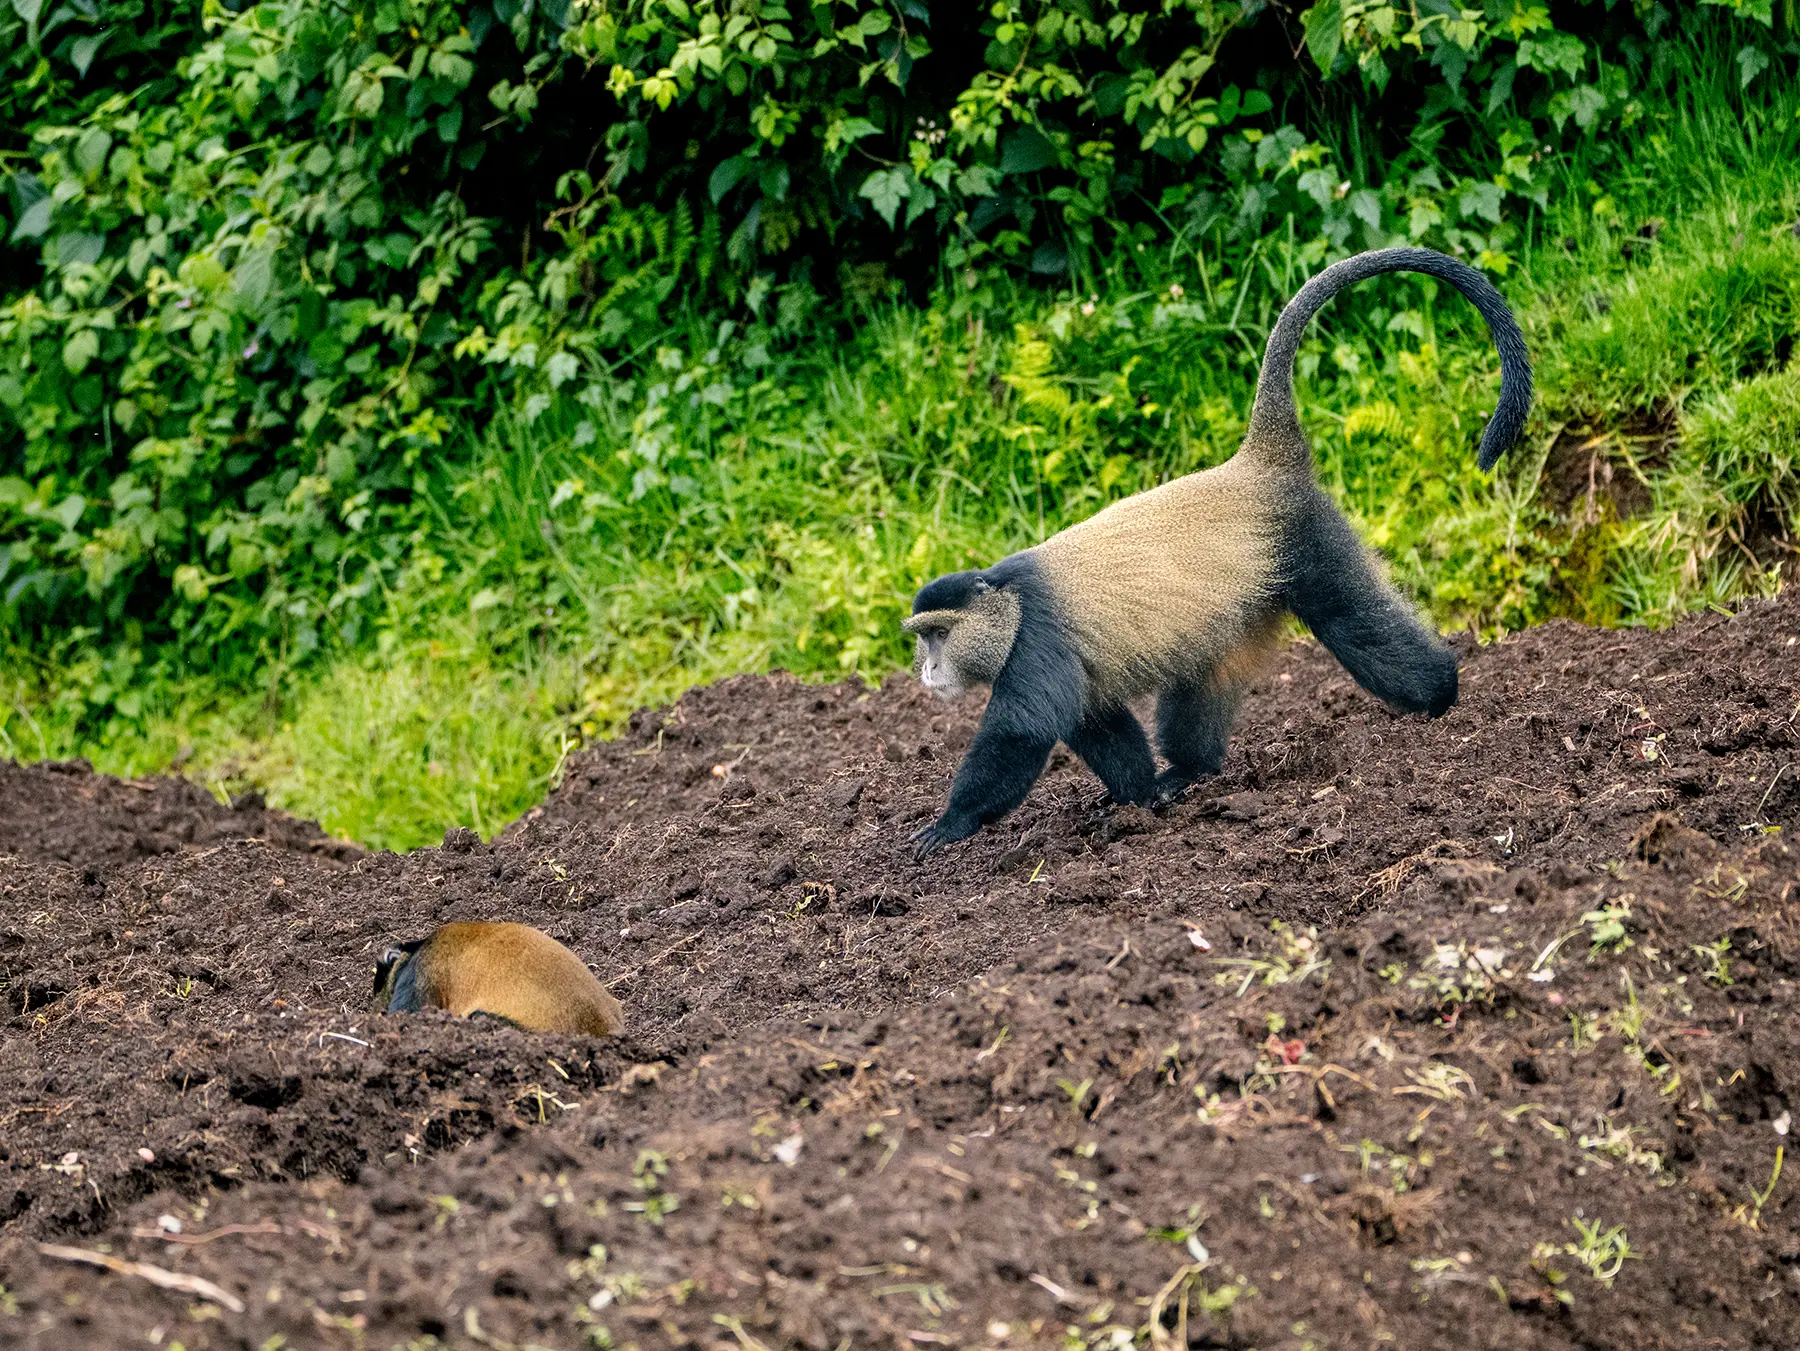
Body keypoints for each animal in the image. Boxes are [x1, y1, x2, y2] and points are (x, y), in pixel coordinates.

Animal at [904, 246, 1531, 860]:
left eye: (937, 634)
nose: (927, 670)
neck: (1007, 601)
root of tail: (1257, 466)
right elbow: (1098, 723)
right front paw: (1137, 797)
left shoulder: (1036, 643)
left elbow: (1022, 734)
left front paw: (949, 824)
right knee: (1205, 678)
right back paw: (1187, 771)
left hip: (1309, 545)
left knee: (1355, 623)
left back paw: (1444, 698)